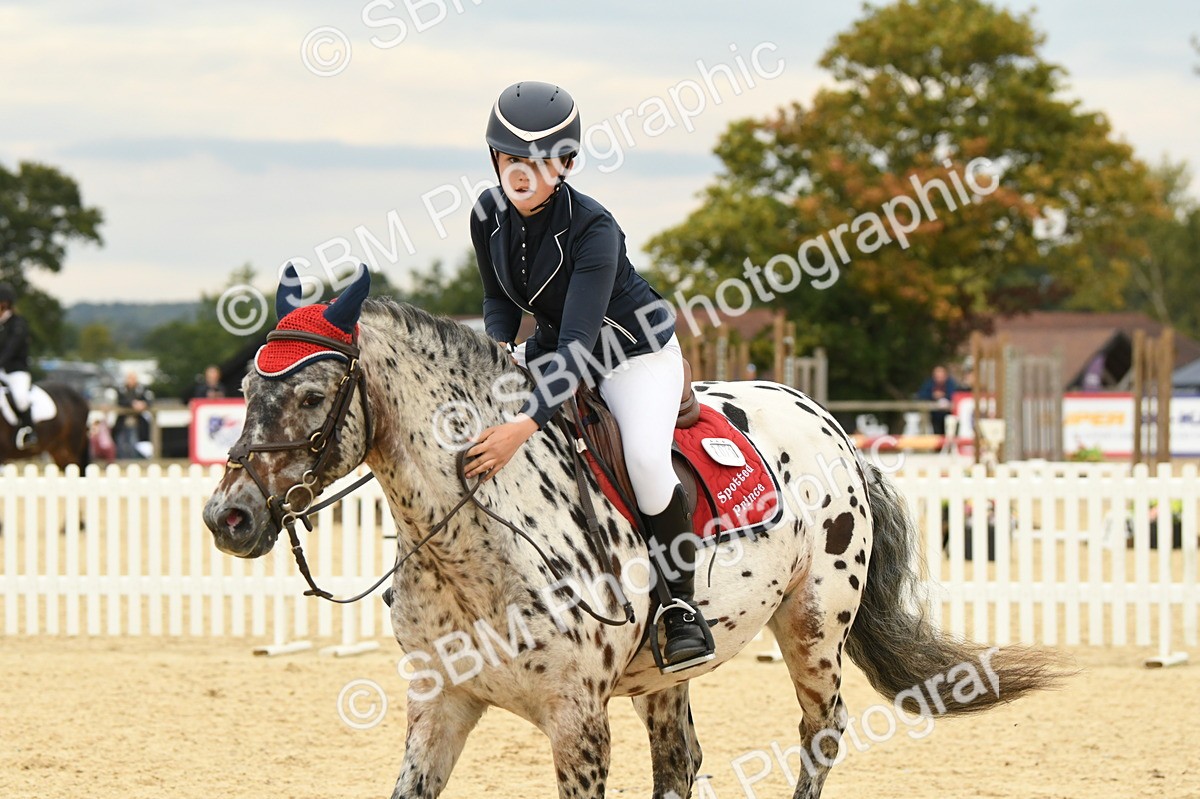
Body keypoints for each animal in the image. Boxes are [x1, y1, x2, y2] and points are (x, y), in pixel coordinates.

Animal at [204, 267, 1063, 799]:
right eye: (244, 386)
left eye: (312, 395)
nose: (229, 516)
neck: (474, 545)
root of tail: (838, 430)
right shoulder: (441, 704)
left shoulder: (577, 719)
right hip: (666, 673)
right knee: (680, 760)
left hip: (815, 627)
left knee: (821, 732)